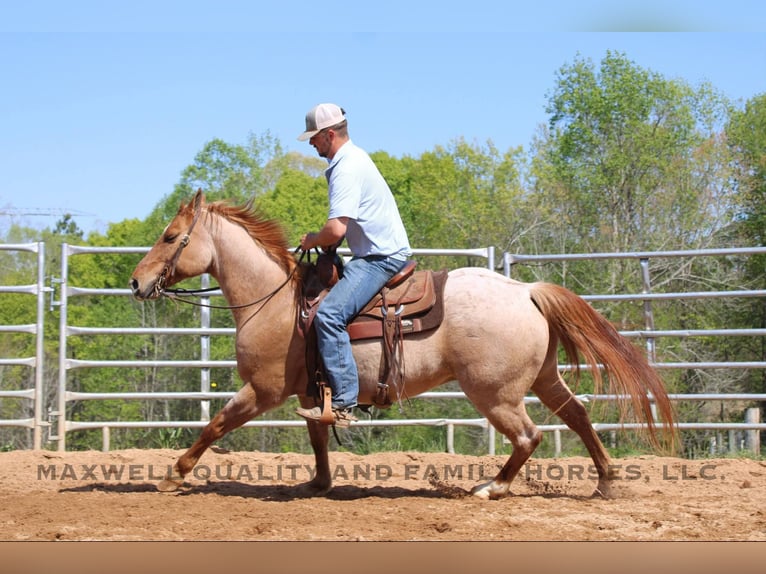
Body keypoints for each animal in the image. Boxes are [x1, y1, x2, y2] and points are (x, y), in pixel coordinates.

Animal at [129, 190, 676, 499]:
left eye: (170, 235)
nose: (136, 282)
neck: (278, 302)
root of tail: (525, 290)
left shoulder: (262, 391)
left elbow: (214, 425)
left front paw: (173, 476)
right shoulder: (311, 393)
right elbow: (318, 437)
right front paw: (319, 484)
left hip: (494, 393)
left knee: (529, 436)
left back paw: (492, 488)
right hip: (541, 378)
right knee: (577, 415)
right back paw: (604, 482)